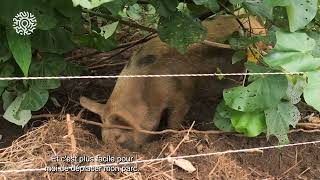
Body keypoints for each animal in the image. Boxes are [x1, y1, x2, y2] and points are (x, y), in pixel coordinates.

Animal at [80, 15, 245, 150]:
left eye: (118, 136)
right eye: (103, 136)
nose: (110, 148)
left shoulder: (182, 94)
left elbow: (175, 119)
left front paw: (170, 137)